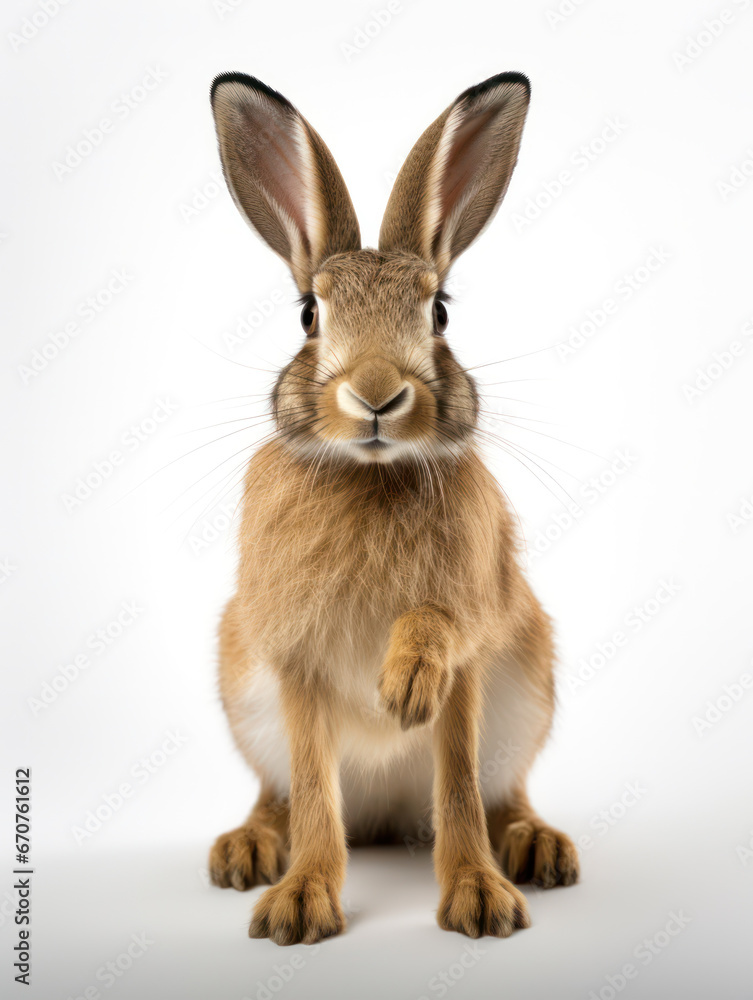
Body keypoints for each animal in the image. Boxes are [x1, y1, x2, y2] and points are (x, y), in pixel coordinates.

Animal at [207, 70, 579, 946]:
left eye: (438, 311)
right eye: (308, 314)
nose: (376, 395)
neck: (370, 476)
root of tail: (381, 818)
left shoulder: (471, 630)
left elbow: (454, 761)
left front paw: (476, 898)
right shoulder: (294, 664)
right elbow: (314, 791)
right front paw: (302, 903)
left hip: (524, 690)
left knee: (492, 795)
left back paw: (534, 847)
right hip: (245, 696)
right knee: (280, 794)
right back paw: (246, 850)